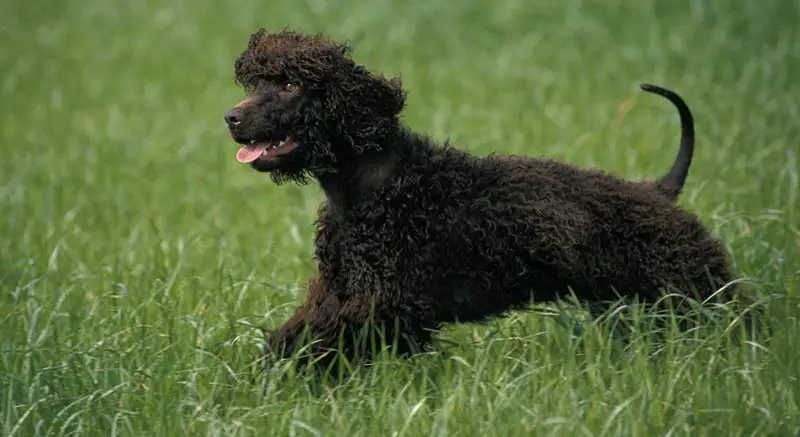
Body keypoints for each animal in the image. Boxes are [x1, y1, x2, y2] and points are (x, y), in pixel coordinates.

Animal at [222, 28, 740, 368]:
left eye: (290, 85)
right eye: (256, 83)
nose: (231, 117)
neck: (372, 185)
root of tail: (658, 189)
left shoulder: (382, 303)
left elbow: (319, 340)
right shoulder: (341, 291)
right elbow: (294, 334)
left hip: (694, 284)